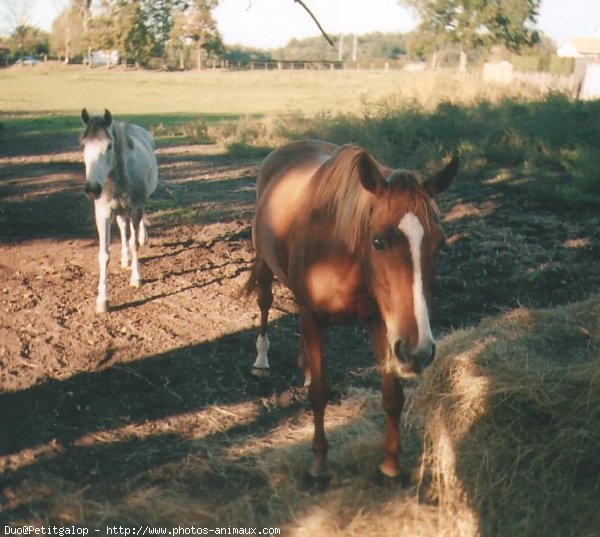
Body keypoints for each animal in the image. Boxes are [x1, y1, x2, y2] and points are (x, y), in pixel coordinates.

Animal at [245, 139, 460, 478]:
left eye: (440, 244)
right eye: (378, 241)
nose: (418, 351)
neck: (342, 253)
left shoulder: (381, 321)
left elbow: (392, 395)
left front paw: (390, 465)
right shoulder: (313, 315)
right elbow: (320, 394)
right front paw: (319, 465)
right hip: (265, 265)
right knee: (265, 304)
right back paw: (261, 359)